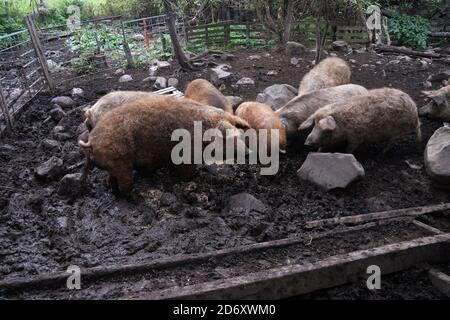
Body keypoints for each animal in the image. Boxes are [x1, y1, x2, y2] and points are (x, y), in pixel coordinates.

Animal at [79, 95, 251, 194]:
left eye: (238, 135)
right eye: (225, 139)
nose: (248, 152)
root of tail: (91, 141)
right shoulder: (186, 155)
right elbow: (186, 173)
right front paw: (190, 180)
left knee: (111, 179)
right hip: (120, 164)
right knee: (124, 184)